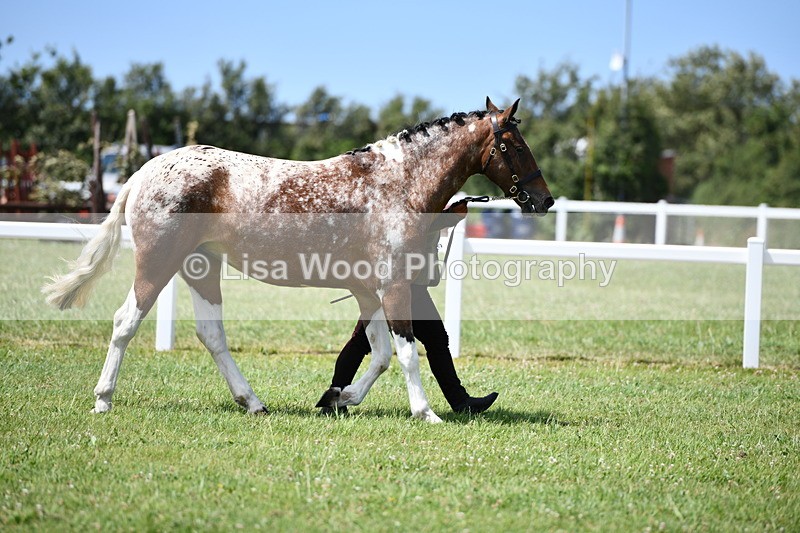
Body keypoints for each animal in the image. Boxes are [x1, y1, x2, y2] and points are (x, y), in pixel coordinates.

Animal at [43, 97, 553, 423]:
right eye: (514, 146)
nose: (544, 200)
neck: (397, 182)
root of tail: (144, 172)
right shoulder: (392, 286)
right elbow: (408, 352)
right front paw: (425, 412)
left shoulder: (368, 291)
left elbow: (380, 354)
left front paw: (341, 398)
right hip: (157, 263)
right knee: (125, 321)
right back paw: (103, 400)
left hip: (200, 267)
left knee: (212, 334)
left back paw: (252, 402)